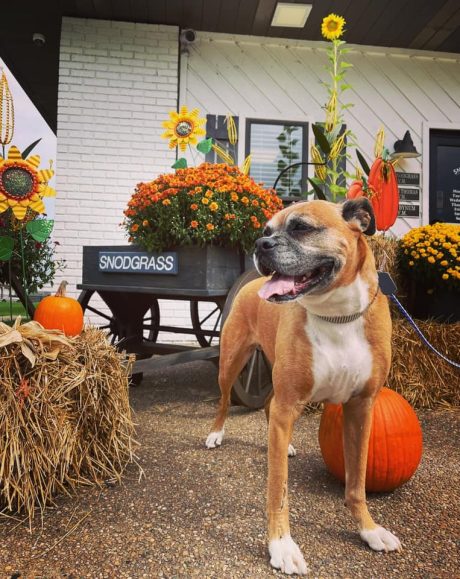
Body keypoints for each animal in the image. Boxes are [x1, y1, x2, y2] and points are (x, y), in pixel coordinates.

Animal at [207, 199, 400, 576]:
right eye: (266, 230)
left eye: (301, 227)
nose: (260, 244)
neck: (336, 316)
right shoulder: (289, 404)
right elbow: (278, 491)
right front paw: (281, 546)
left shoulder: (361, 408)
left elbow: (357, 483)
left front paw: (369, 529)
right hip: (231, 363)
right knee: (223, 401)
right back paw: (216, 433)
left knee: (267, 406)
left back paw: (287, 446)